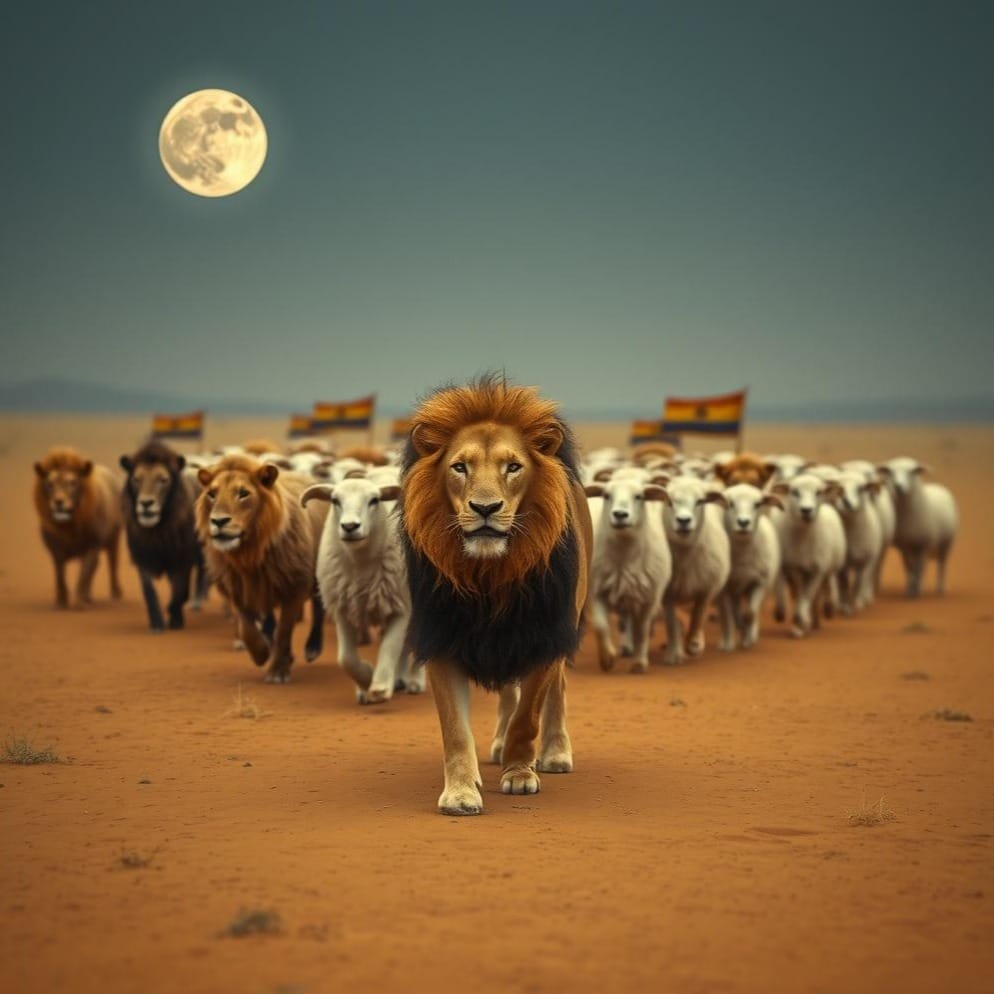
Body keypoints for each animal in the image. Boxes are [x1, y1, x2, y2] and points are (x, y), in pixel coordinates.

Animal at [33, 446, 123, 608]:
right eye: (50, 484)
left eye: (72, 483)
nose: (58, 502)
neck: (69, 524)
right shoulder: (55, 549)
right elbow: (60, 575)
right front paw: (61, 602)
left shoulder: (92, 545)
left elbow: (83, 575)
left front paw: (79, 602)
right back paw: (89, 597)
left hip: (114, 536)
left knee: (112, 564)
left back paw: (115, 594)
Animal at [195, 455, 328, 682]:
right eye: (212, 494)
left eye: (243, 493)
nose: (218, 521)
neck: (250, 554)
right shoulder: (238, 589)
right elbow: (247, 627)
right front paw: (261, 654)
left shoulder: (294, 588)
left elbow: (284, 631)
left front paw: (277, 671)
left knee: (319, 610)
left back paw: (312, 648)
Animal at [400, 376, 593, 815]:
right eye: (459, 467)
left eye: (513, 467)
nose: (484, 507)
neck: (490, 576)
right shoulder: (442, 637)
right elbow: (456, 729)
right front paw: (460, 792)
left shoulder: (544, 635)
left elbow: (529, 715)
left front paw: (520, 774)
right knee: (508, 690)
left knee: (556, 692)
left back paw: (554, 752)